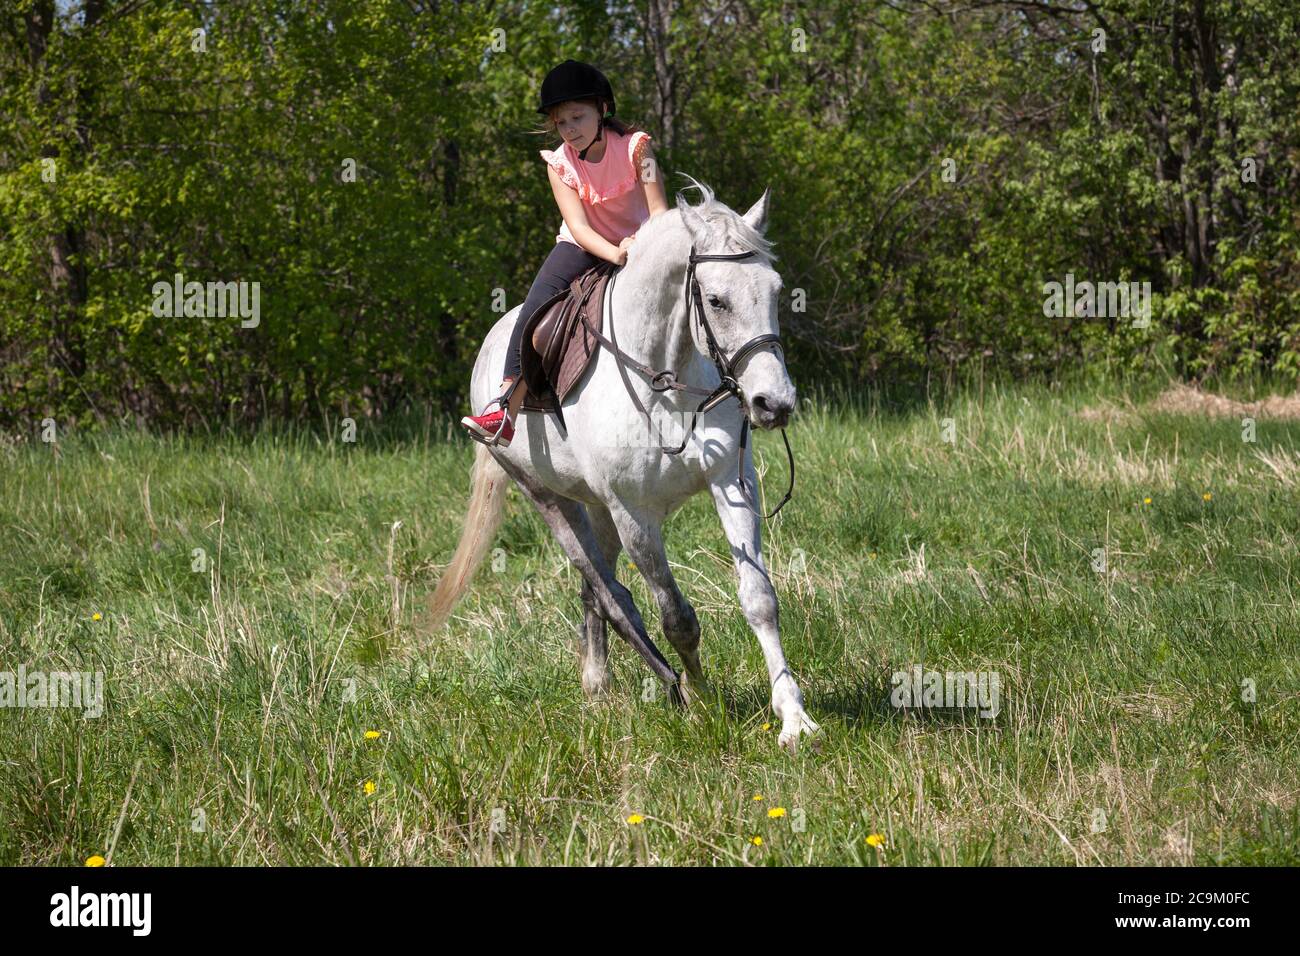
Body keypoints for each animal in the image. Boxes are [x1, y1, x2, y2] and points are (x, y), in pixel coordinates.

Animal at [421, 179, 816, 754]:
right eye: (716, 300)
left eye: (776, 291)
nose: (774, 402)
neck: (665, 378)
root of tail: (490, 344)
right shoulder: (634, 516)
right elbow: (677, 617)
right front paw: (703, 701)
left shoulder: (732, 483)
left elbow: (759, 599)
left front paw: (793, 718)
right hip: (547, 496)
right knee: (607, 590)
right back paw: (652, 681)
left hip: (597, 507)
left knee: (596, 589)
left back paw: (599, 681)